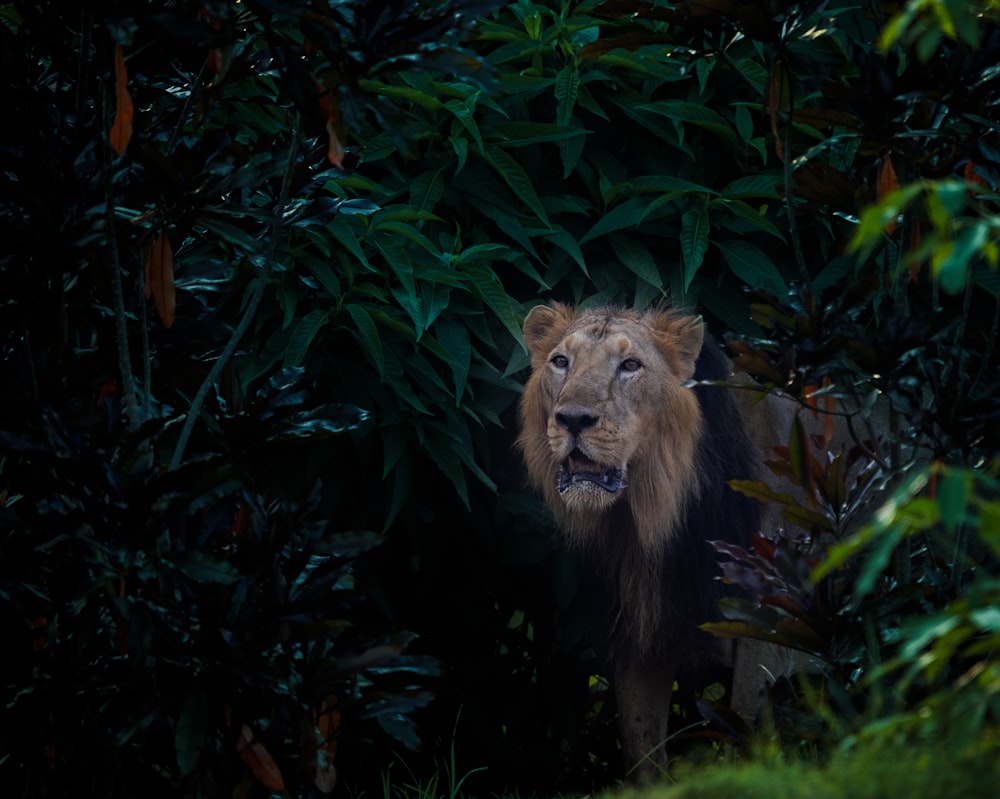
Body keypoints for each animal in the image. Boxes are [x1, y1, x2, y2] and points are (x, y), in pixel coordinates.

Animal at [520, 302, 792, 780]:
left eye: (630, 365)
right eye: (561, 361)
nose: (572, 419)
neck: (653, 521)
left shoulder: (765, 633)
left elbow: (747, 738)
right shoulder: (637, 633)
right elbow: (642, 748)